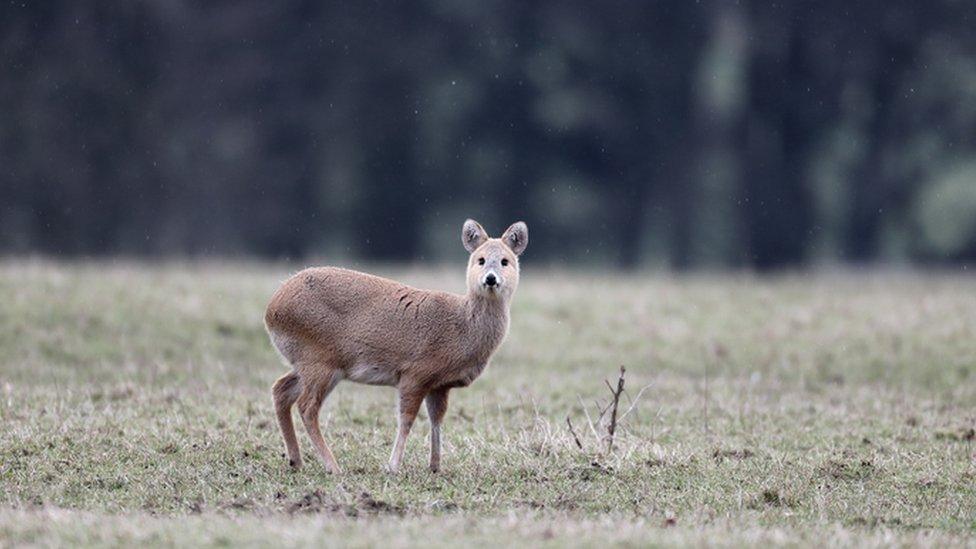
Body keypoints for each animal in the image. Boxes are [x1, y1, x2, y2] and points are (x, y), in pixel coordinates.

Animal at [264, 218, 528, 470]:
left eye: (505, 261)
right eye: (480, 260)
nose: (491, 279)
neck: (462, 326)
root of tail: (272, 309)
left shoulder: (440, 384)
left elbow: (436, 420)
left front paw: (435, 466)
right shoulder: (415, 373)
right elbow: (407, 419)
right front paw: (393, 466)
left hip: (308, 362)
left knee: (281, 390)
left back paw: (296, 460)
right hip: (319, 359)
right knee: (306, 407)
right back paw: (333, 466)